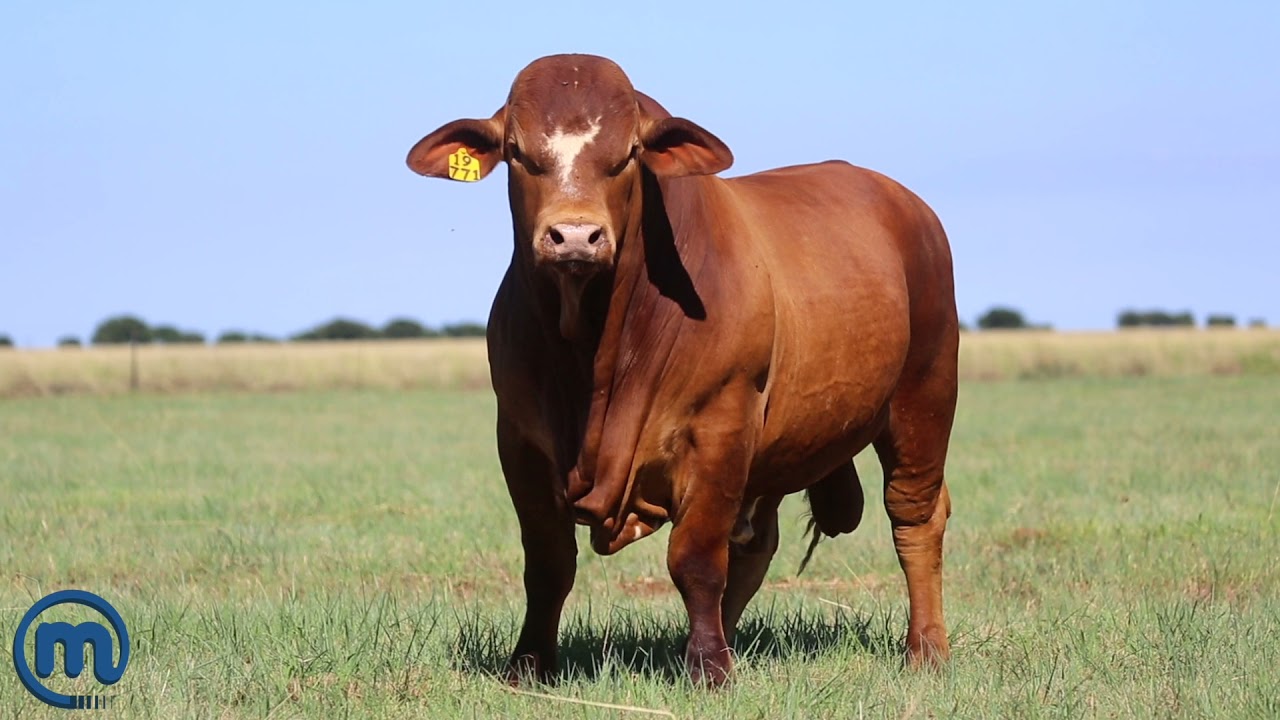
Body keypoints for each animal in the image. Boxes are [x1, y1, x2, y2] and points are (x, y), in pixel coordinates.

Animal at [406, 54, 957, 687]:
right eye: (519, 153)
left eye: (628, 154)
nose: (576, 237)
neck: (593, 354)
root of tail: (903, 202)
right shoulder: (519, 440)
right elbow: (548, 564)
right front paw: (530, 663)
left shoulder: (721, 426)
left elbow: (694, 559)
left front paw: (709, 669)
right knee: (755, 544)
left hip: (925, 396)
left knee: (915, 517)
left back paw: (926, 648)